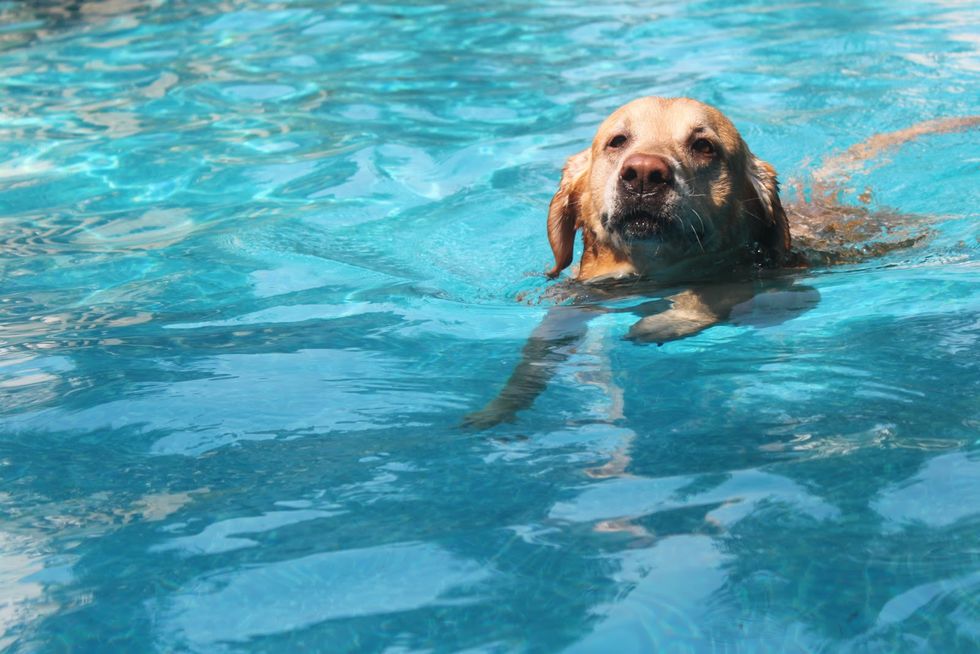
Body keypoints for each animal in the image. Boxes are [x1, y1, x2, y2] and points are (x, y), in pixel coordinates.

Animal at [465, 97, 978, 429]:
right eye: (616, 141)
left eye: (704, 145)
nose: (644, 173)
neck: (650, 275)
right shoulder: (569, 305)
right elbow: (533, 356)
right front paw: (497, 408)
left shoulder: (789, 286)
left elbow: (723, 291)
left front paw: (666, 320)